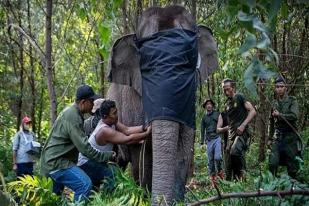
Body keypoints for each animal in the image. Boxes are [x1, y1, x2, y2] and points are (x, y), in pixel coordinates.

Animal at [107, 5, 218, 206]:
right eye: (146, 67)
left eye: (187, 65)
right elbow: (141, 154)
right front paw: (143, 197)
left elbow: (183, 148)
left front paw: (178, 200)